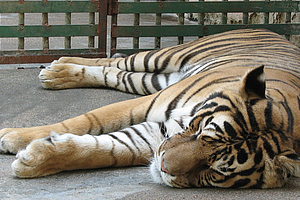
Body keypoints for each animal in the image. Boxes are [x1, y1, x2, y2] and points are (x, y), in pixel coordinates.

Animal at [0, 28, 300, 188]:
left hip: (150, 79)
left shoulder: (161, 133)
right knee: (114, 62)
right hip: (163, 57)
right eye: (199, 131)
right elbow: (87, 120)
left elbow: (110, 149)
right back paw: (58, 68)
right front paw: (12, 137)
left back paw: (59, 71)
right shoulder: (152, 105)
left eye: (213, 170)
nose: (163, 166)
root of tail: (269, 30)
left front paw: (35, 159)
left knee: (116, 73)